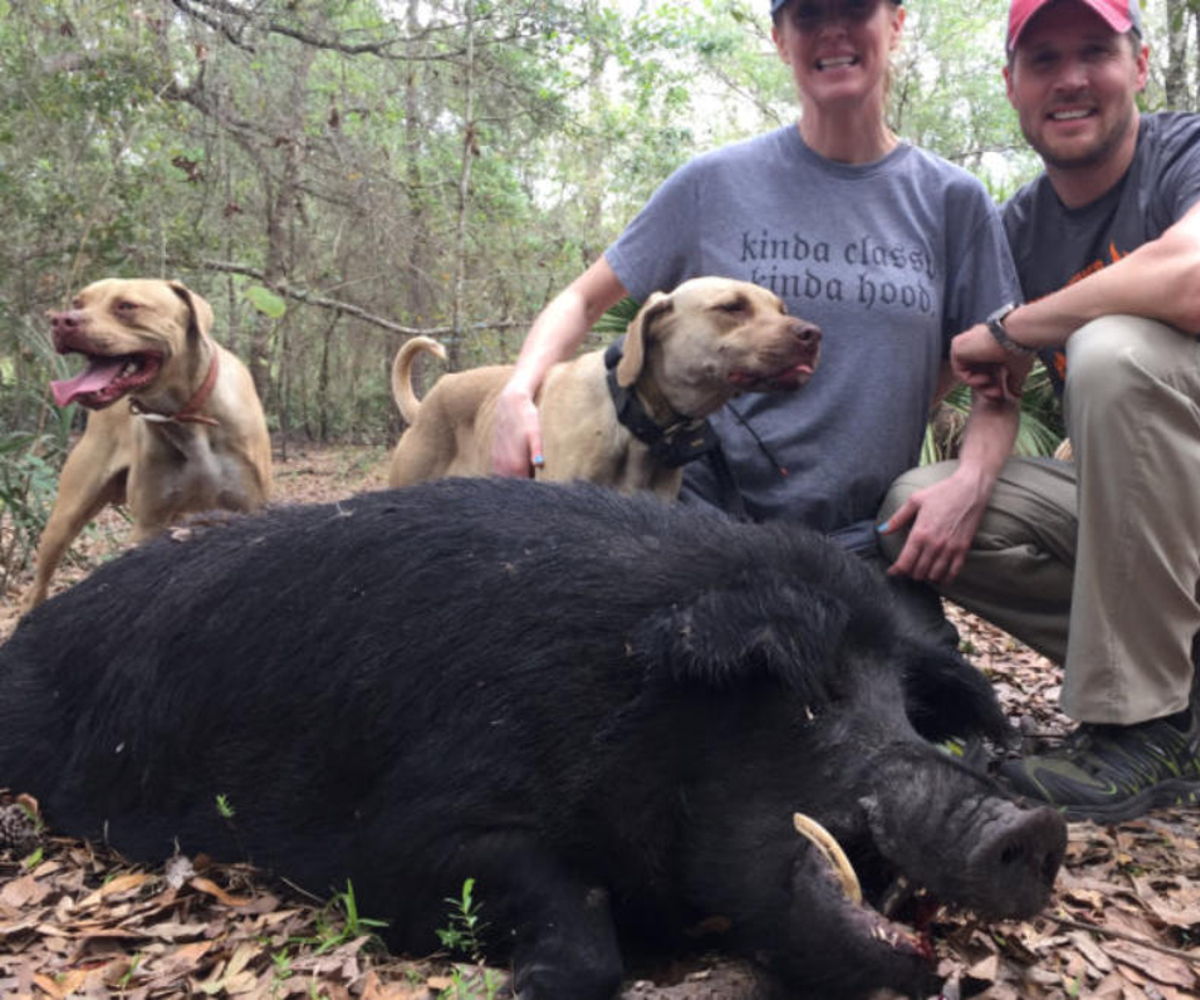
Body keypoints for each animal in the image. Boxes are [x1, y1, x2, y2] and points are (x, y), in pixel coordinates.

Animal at [0, 478, 1066, 1000]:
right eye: (818, 696)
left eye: (907, 710)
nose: (1034, 828)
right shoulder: (401, 834)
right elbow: (566, 909)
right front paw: (529, 985)